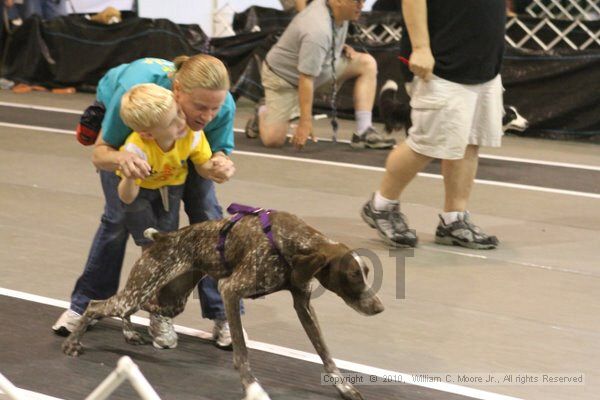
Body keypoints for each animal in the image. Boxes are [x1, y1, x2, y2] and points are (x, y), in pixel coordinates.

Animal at [63, 208, 384, 400]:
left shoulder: (303, 305)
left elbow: (325, 353)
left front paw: (343, 385)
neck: (289, 243)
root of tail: (165, 237)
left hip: (166, 299)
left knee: (135, 309)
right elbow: (242, 352)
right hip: (142, 291)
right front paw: (250, 386)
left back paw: (129, 333)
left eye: (367, 272)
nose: (379, 307)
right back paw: (74, 343)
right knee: (96, 305)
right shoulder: (230, 291)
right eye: (353, 275)